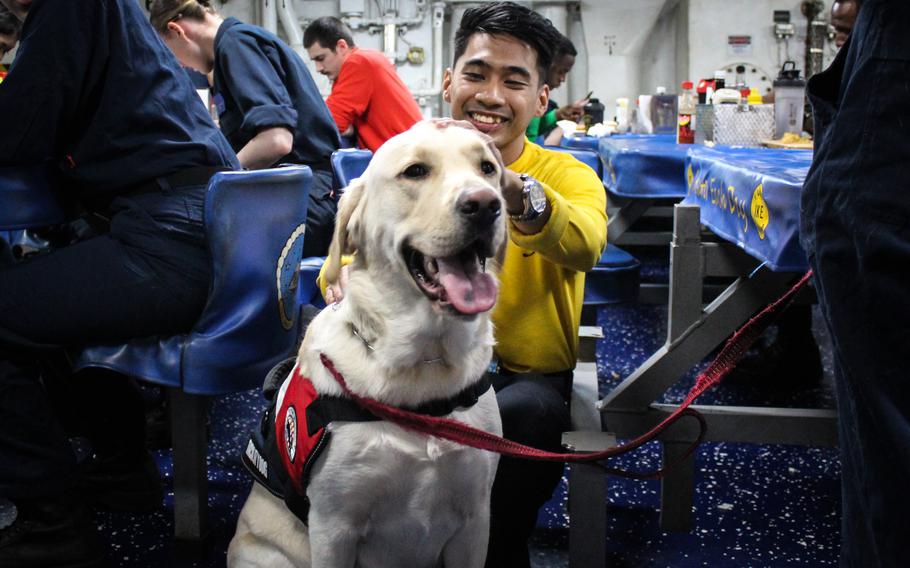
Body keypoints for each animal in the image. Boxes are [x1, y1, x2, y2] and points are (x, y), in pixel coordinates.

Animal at [227, 121, 506, 568]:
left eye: (487, 168)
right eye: (415, 171)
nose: (485, 204)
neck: (424, 364)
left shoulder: (475, 519)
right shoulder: (333, 528)